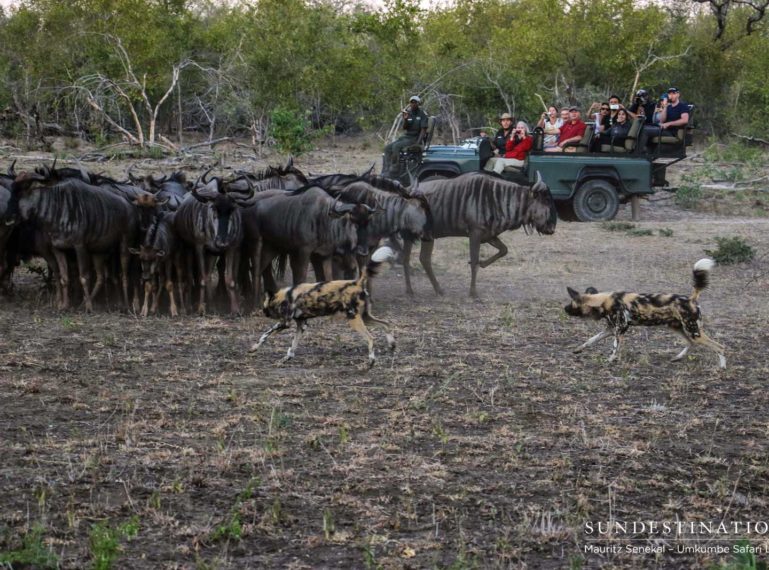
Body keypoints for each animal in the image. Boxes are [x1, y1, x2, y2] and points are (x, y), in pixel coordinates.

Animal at [250, 246, 396, 366]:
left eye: (264, 307)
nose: (264, 313)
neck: (285, 296)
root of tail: (357, 282)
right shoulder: (301, 325)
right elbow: (293, 345)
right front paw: (286, 358)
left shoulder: (285, 323)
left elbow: (265, 334)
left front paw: (254, 348)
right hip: (365, 317)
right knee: (387, 324)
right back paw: (392, 345)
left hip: (353, 319)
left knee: (371, 337)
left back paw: (371, 361)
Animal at [560, 258, 724, 368]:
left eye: (571, 304)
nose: (564, 309)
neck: (603, 301)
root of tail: (691, 299)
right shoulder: (610, 329)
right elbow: (590, 340)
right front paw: (578, 349)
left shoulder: (620, 330)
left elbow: (614, 348)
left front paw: (610, 360)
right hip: (677, 328)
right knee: (691, 343)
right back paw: (677, 358)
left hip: (693, 331)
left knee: (719, 347)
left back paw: (722, 367)